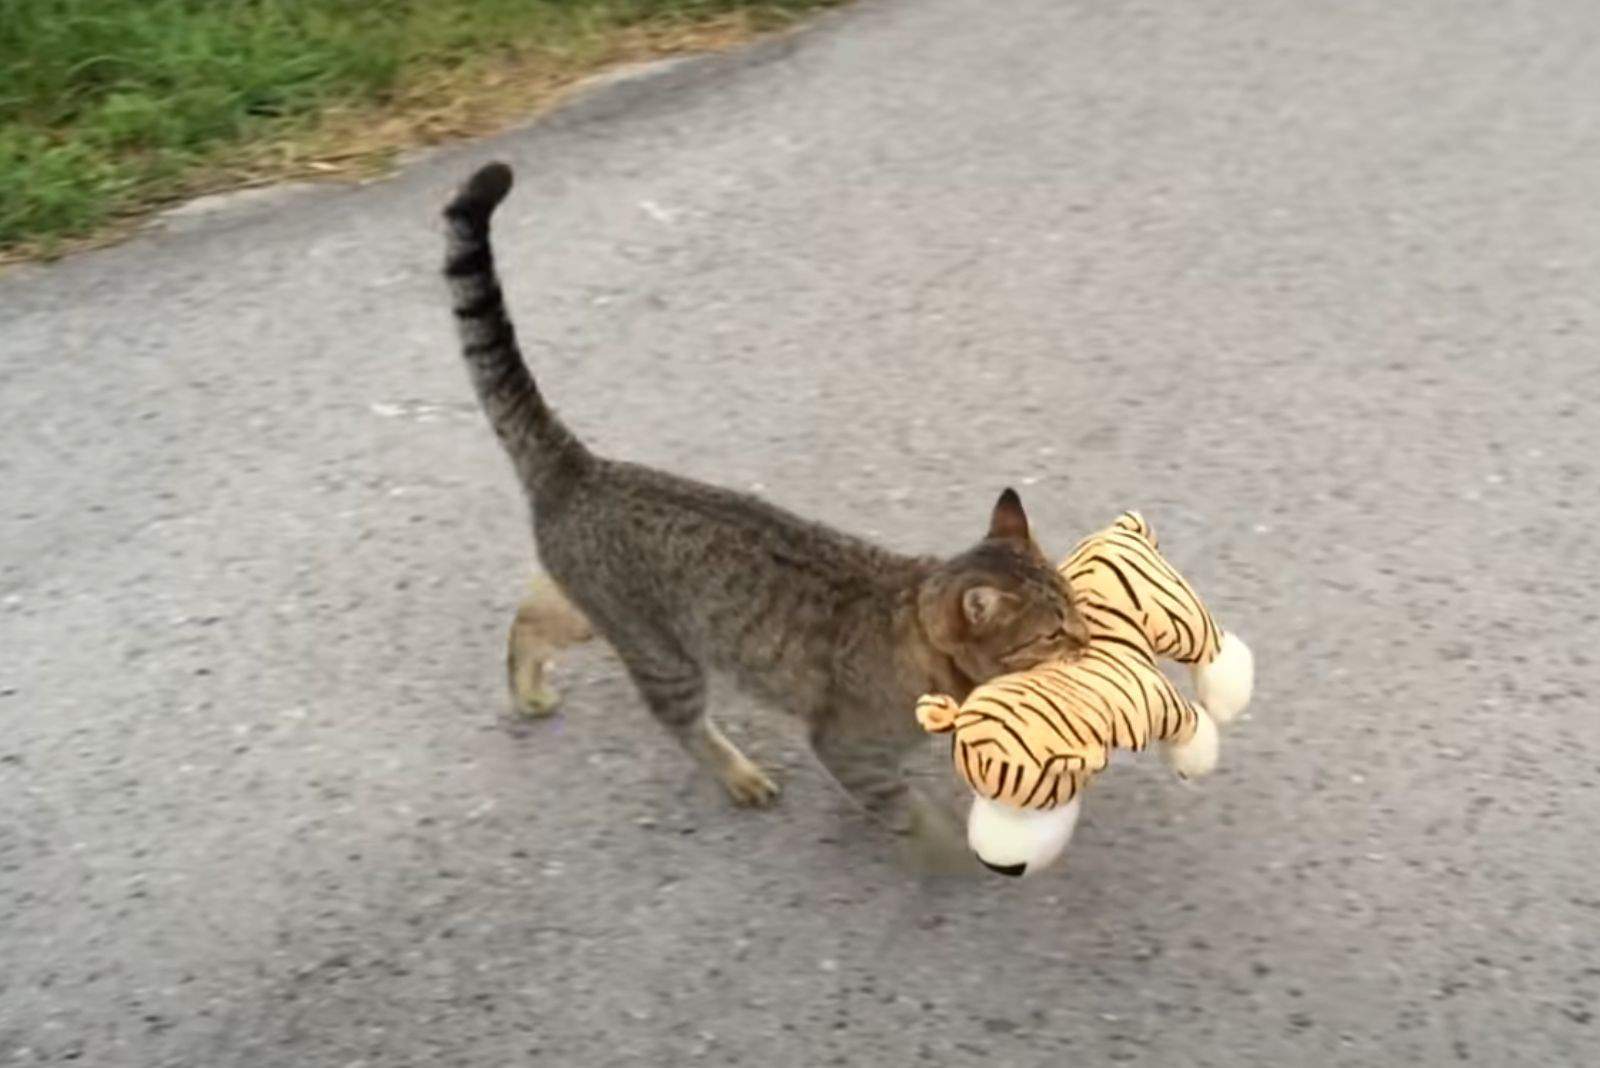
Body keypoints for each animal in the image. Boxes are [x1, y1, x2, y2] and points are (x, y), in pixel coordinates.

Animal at [441, 160, 1088, 856]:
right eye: (1053, 631)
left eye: (1076, 608)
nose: (1087, 638)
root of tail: (583, 466)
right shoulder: (848, 748)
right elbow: (911, 814)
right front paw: (952, 853)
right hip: (662, 654)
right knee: (682, 723)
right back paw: (738, 775)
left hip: (597, 613)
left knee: (530, 618)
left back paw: (528, 689)